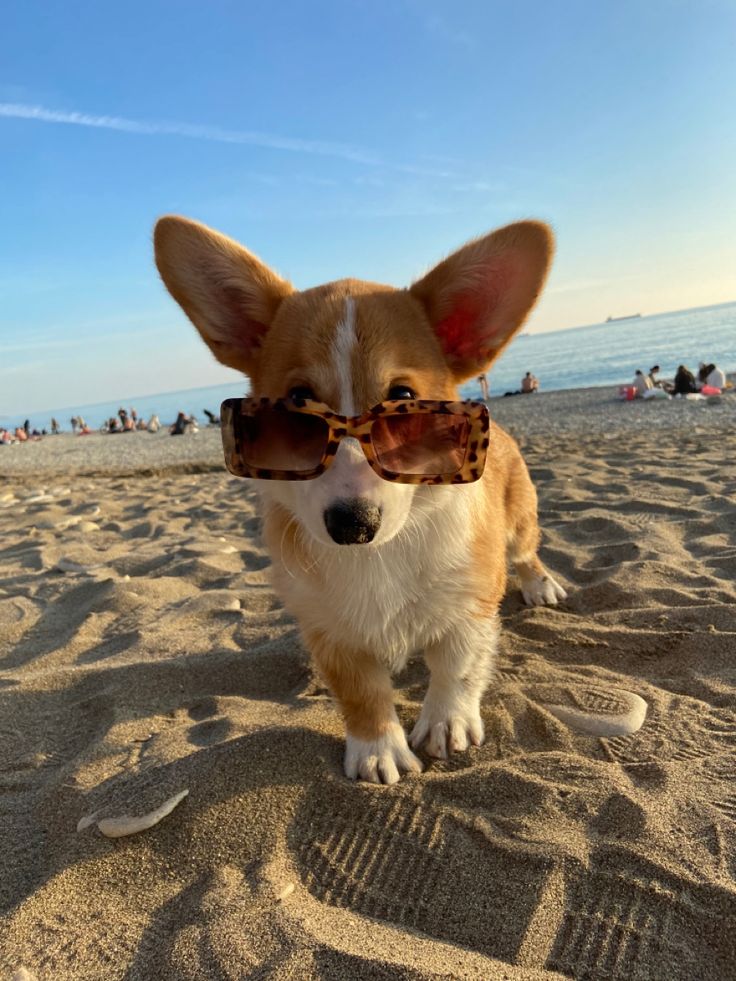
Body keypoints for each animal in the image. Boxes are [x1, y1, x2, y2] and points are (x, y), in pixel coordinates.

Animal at [155, 218, 568, 784]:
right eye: (297, 407)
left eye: (405, 402)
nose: (352, 524)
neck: (376, 558)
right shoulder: (330, 630)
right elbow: (362, 693)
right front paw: (378, 750)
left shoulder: (472, 602)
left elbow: (457, 666)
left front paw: (447, 723)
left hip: (520, 523)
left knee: (527, 552)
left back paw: (540, 584)